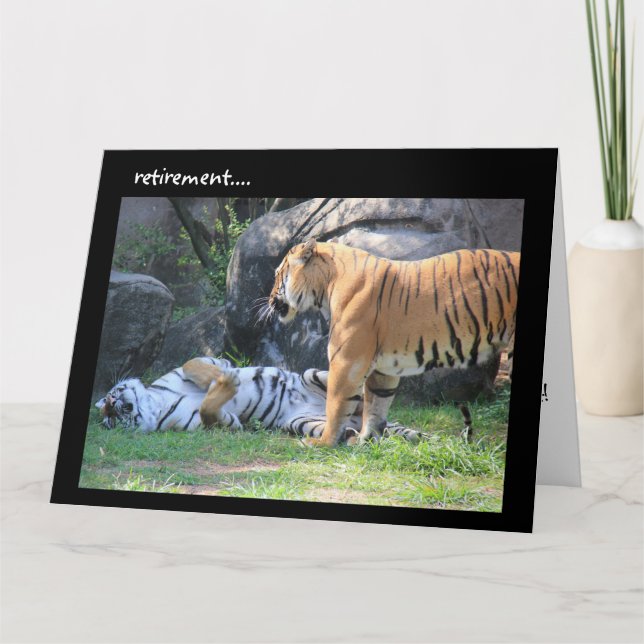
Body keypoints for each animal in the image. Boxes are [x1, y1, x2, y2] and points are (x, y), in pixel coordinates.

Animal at [267, 239, 519, 447]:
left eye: (278, 274)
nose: (269, 300)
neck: (327, 285)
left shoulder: (347, 361)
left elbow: (336, 405)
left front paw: (323, 443)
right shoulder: (384, 368)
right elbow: (375, 407)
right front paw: (365, 440)